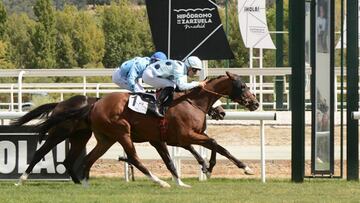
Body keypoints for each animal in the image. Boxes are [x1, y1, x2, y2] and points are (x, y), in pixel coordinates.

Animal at [11, 95, 225, 186]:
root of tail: (60, 103)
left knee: (70, 160)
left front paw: (204, 165)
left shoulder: (167, 137)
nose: (222, 112)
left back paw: (79, 182)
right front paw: (204, 166)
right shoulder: (161, 138)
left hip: (81, 136)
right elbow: (178, 152)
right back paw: (21, 180)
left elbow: (187, 149)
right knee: (41, 152)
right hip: (60, 133)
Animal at [81, 72, 258, 188]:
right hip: (122, 133)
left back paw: (84, 183)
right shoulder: (186, 136)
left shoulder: (184, 137)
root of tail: (95, 104)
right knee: (134, 159)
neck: (193, 102)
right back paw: (161, 182)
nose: (255, 103)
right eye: (243, 86)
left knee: (89, 158)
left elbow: (219, 148)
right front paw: (210, 168)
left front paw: (242, 167)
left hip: (106, 139)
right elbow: (214, 143)